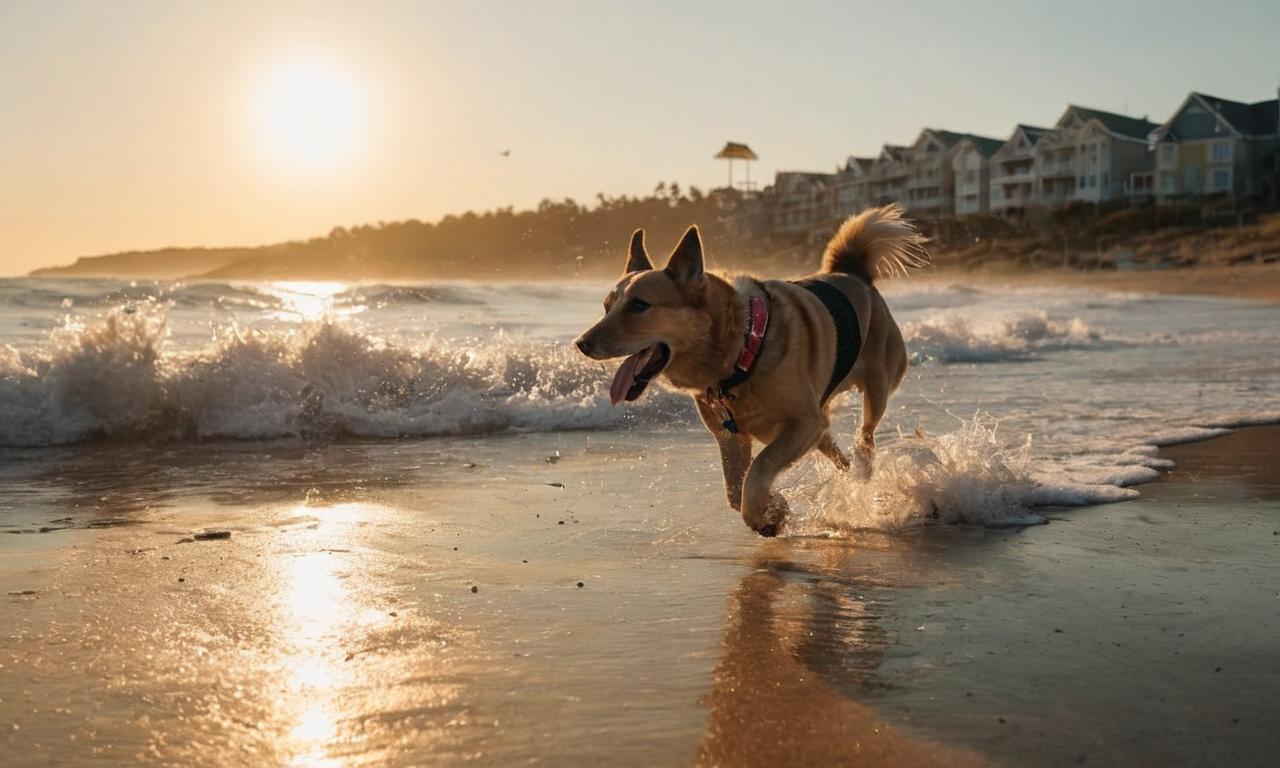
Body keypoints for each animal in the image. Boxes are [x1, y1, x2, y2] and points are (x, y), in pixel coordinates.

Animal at [576, 207, 926, 537]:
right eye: (607, 307)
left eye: (638, 306)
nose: (581, 343)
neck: (741, 351)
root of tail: (853, 273)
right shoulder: (732, 436)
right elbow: (735, 489)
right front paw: (775, 508)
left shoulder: (802, 424)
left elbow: (759, 469)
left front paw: (763, 513)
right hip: (820, 424)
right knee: (836, 449)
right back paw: (847, 478)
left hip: (874, 388)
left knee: (866, 435)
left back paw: (863, 472)